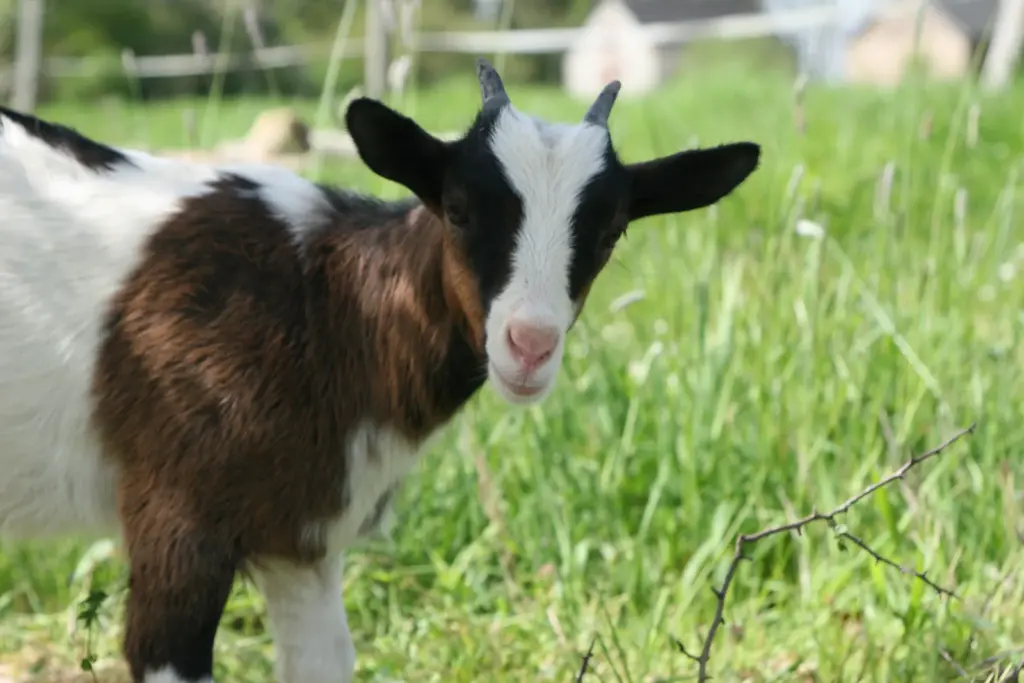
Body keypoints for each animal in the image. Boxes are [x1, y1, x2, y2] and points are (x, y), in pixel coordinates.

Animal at [0, 59, 760, 683]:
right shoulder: (179, 507)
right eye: (458, 210)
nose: (530, 346)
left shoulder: (301, 534)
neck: (320, 302)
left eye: (610, 231)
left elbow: (326, 662)